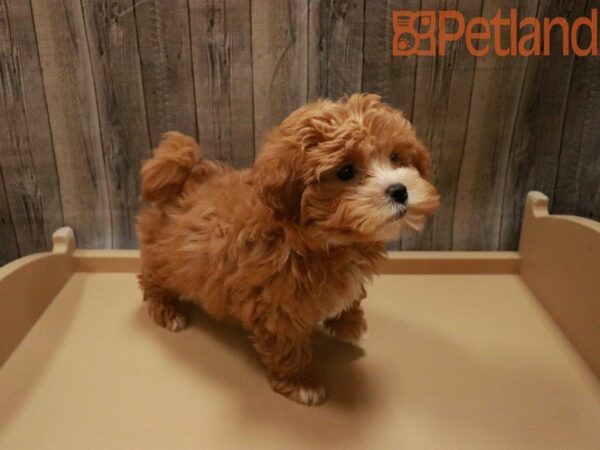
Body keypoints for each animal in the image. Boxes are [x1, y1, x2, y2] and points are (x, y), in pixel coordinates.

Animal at [136, 93, 438, 406]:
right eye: (346, 172)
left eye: (396, 157)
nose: (399, 190)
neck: (324, 242)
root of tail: (186, 180)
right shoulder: (276, 306)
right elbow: (287, 346)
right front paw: (300, 382)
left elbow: (353, 296)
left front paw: (350, 325)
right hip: (170, 258)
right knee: (152, 276)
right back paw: (166, 310)